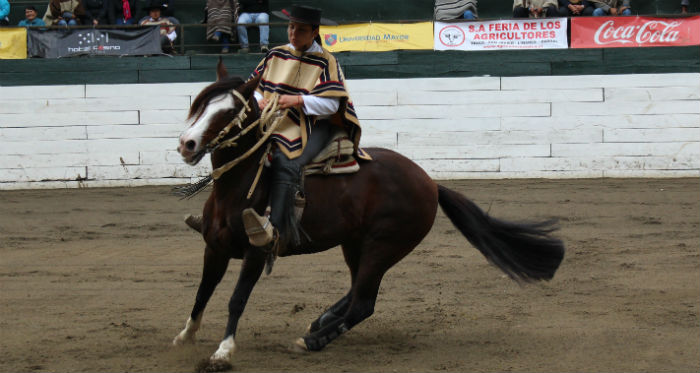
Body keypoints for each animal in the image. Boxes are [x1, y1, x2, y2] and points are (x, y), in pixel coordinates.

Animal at [174, 61, 564, 370]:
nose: (187, 144)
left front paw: (223, 351)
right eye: (200, 104)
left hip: (384, 246)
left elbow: (236, 298)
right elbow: (202, 292)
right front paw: (185, 335)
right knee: (356, 290)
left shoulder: (256, 252)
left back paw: (313, 340)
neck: (239, 187)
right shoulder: (214, 248)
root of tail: (430, 183)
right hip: (355, 244)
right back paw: (321, 320)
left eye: (229, 112)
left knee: (363, 302)